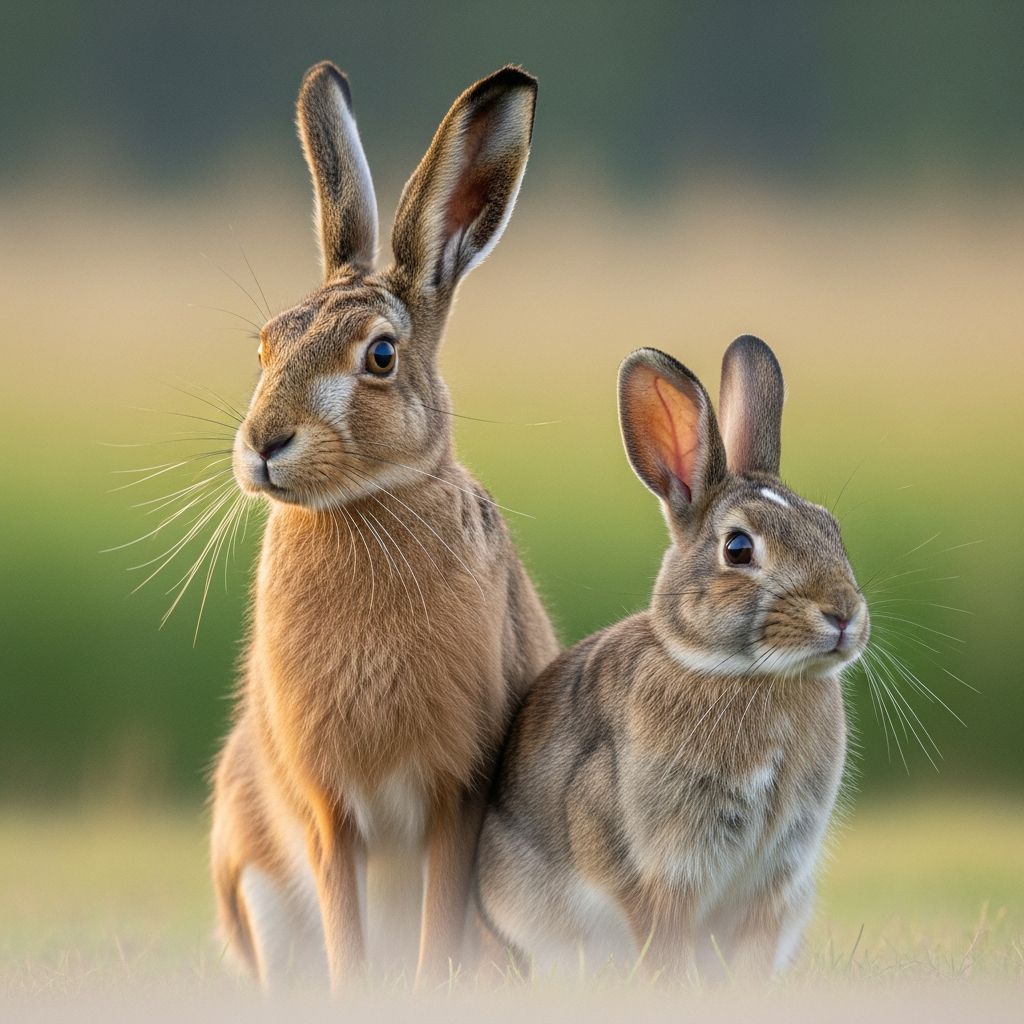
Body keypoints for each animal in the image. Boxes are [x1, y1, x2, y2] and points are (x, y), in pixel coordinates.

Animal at [209, 61, 558, 992]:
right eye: (266, 345)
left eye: (380, 356)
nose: (263, 445)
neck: (362, 508)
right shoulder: (327, 809)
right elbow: (347, 934)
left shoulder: (455, 792)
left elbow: (437, 932)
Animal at [475, 336, 869, 981]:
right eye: (739, 548)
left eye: (830, 528)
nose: (842, 615)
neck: (746, 673)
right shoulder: (661, 868)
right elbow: (665, 946)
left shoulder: (774, 882)